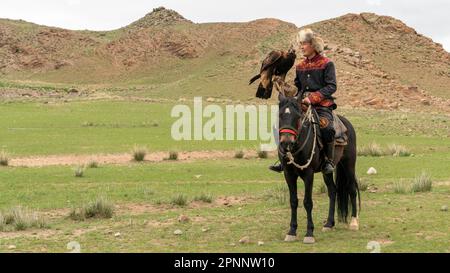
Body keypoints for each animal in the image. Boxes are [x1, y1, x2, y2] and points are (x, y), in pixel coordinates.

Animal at [276, 94, 360, 243]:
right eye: (280, 115)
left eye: (297, 116)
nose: (286, 142)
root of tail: (346, 124)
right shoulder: (288, 174)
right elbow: (293, 201)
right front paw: (291, 231)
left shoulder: (308, 174)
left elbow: (308, 202)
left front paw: (309, 233)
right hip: (327, 171)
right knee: (333, 191)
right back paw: (329, 224)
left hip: (349, 164)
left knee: (351, 189)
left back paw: (354, 223)